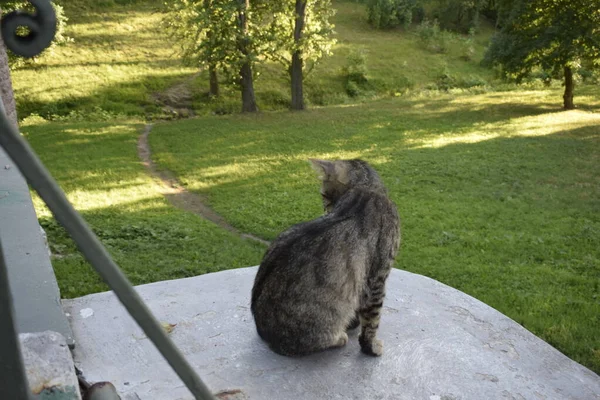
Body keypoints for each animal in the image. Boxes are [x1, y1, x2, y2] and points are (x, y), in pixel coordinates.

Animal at [251, 159, 400, 356]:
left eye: (323, 194)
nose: (324, 209)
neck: (366, 189)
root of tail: (263, 333)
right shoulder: (376, 277)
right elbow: (372, 320)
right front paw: (371, 346)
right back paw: (339, 337)